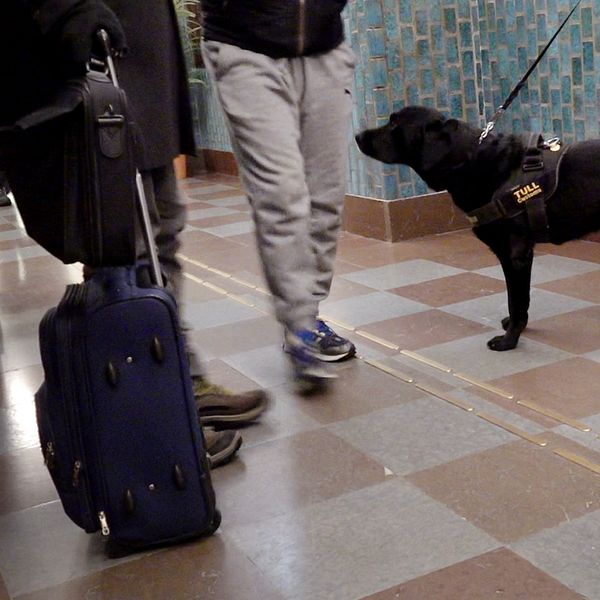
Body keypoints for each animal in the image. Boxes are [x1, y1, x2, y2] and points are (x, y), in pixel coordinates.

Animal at [356, 107, 600, 352]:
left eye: (394, 124)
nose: (357, 136)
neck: (469, 162)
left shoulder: (515, 255)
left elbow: (516, 301)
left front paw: (509, 341)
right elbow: (520, 299)